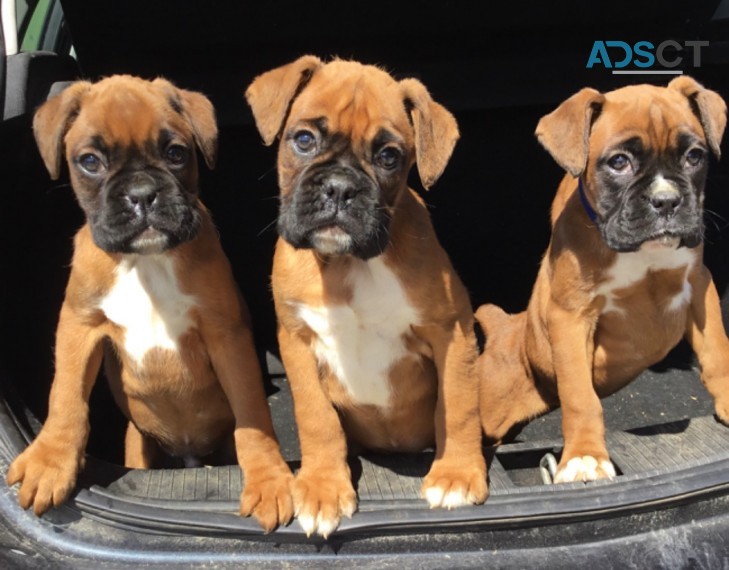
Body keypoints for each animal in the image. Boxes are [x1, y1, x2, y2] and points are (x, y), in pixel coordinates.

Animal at [7, 75, 292, 532]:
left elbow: (252, 414)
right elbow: (66, 396)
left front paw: (268, 478)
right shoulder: (78, 327)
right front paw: (50, 461)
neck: (146, 262)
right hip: (137, 445)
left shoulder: (226, 335)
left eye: (176, 153)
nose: (142, 194)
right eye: (90, 161)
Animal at [246, 55, 490, 536]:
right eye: (304, 139)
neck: (348, 265)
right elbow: (316, 417)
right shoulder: (297, 339)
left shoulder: (451, 331)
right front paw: (323, 487)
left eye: (388, 156)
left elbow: (457, 405)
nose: (340, 187)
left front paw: (456, 473)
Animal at [478, 76, 728, 480]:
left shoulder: (699, 285)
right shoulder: (571, 318)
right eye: (618, 162)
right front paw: (584, 455)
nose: (667, 200)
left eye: (694, 156)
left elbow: (718, 352)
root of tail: (507, 327)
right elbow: (581, 396)